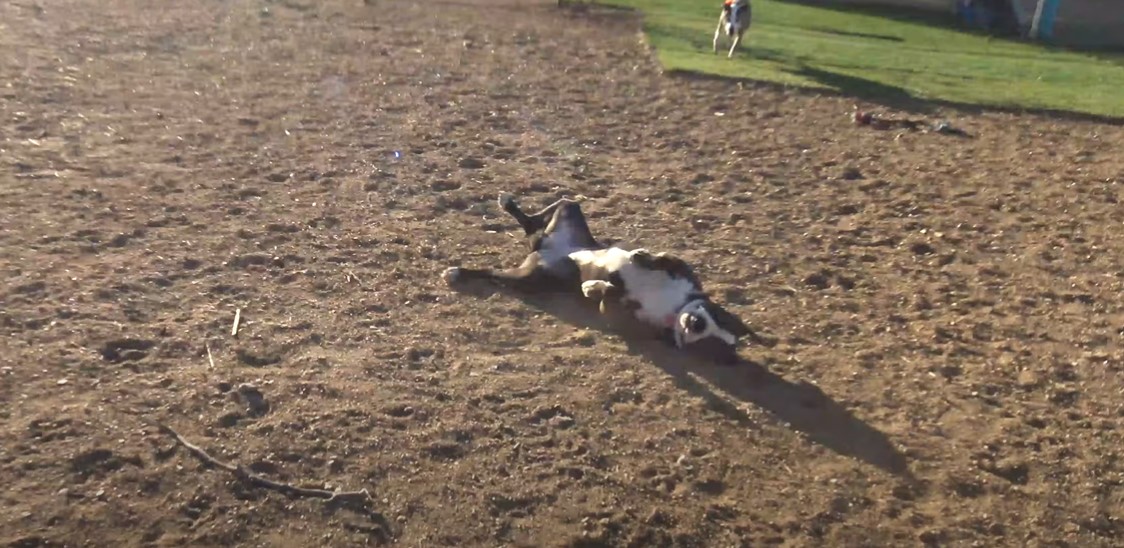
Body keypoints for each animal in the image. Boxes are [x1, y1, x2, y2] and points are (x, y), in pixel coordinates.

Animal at [436, 193, 764, 363]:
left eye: (712, 342)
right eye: (717, 317)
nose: (695, 323)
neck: (673, 308)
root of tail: (543, 248)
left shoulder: (624, 321)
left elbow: (607, 294)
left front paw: (594, 286)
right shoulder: (685, 273)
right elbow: (665, 259)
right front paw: (640, 256)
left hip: (526, 277)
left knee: (496, 269)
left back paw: (458, 271)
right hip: (569, 209)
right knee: (539, 216)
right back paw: (508, 203)